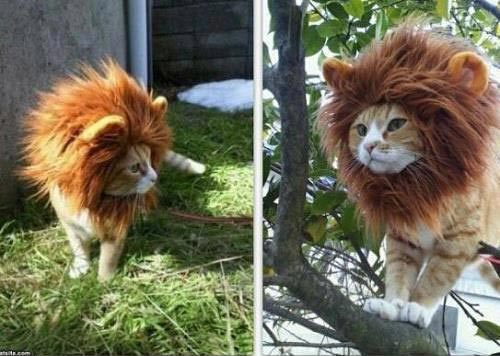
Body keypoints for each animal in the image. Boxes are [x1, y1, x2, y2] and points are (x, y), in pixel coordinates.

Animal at [21, 59, 205, 280]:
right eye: (134, 168)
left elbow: (108, 259)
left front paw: (104, 282)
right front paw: (81, 268)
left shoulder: (115, 230)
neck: (95, 200)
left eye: (150, 160)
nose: (154, 177)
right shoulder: (71, 225)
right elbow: (78, 248)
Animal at [318, 24, 498, 328]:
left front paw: (417, 308)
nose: (369, 146)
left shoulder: (459, 239)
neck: (417, 187)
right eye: (361, 130)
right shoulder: (403, 239)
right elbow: (399, 275)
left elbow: (434, 278)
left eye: (396, 124)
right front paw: (393, 305)